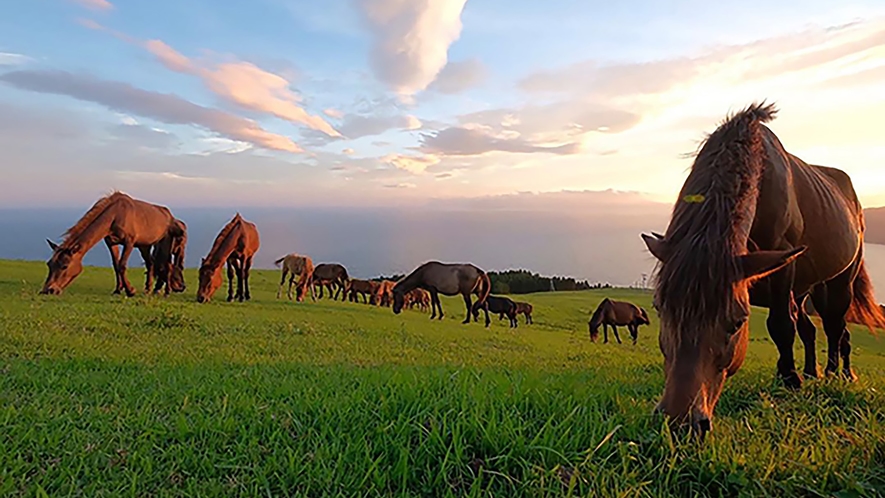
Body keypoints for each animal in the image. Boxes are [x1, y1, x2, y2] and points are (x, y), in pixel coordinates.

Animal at [42, 192, 187, 298]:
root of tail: (169, 216)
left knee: (167, 265)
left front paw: (130, 290)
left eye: (64, 266)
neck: (116, 214)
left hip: (165, 243)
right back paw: (148, 289)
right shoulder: (111, 243)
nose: (48, 290)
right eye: (49, 264)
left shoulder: (129, 242)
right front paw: (118, 290)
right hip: (144, 245)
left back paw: (166, 292)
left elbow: (122, 265)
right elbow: (116, 265)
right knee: (150, 263)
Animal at [644, 102, 884, 436]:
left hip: (839, 281)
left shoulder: (782, 262)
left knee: (836, 327)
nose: (681, 422)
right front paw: (791, 374)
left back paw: (835, 374)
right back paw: (813, 372)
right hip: (805, 289)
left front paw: (790, 379)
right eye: (660, 310)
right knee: (812, 328)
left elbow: (781, 325)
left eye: (737, 322)